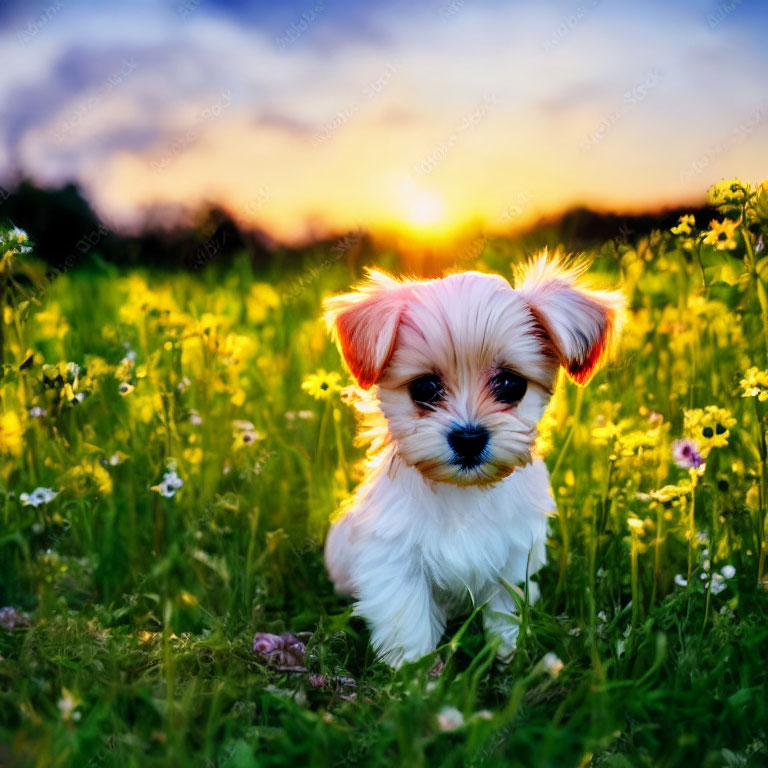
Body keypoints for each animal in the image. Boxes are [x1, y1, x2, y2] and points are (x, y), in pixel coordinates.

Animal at [322, 255, 624, 664]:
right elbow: (407, 615)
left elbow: (503, 607)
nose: (469, 438)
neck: (462, 492)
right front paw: (411, 670)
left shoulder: (512, 558)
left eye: (511, 384)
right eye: (425, 387)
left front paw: (508, 650)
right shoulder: (394, 558)